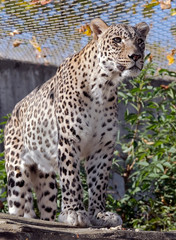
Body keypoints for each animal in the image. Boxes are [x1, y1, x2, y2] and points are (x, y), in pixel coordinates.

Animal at [4, 17, 149, 227]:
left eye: (140, 41)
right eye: (117, 40)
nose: (136, 56)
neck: (103, 86)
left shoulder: (102, 146)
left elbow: (98, 183)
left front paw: (100, 214)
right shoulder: (68, 140)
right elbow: (72, 178)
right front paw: (74, 212)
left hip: (46, 181)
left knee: (46, 206)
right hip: (16, 174)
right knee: (16, 204)